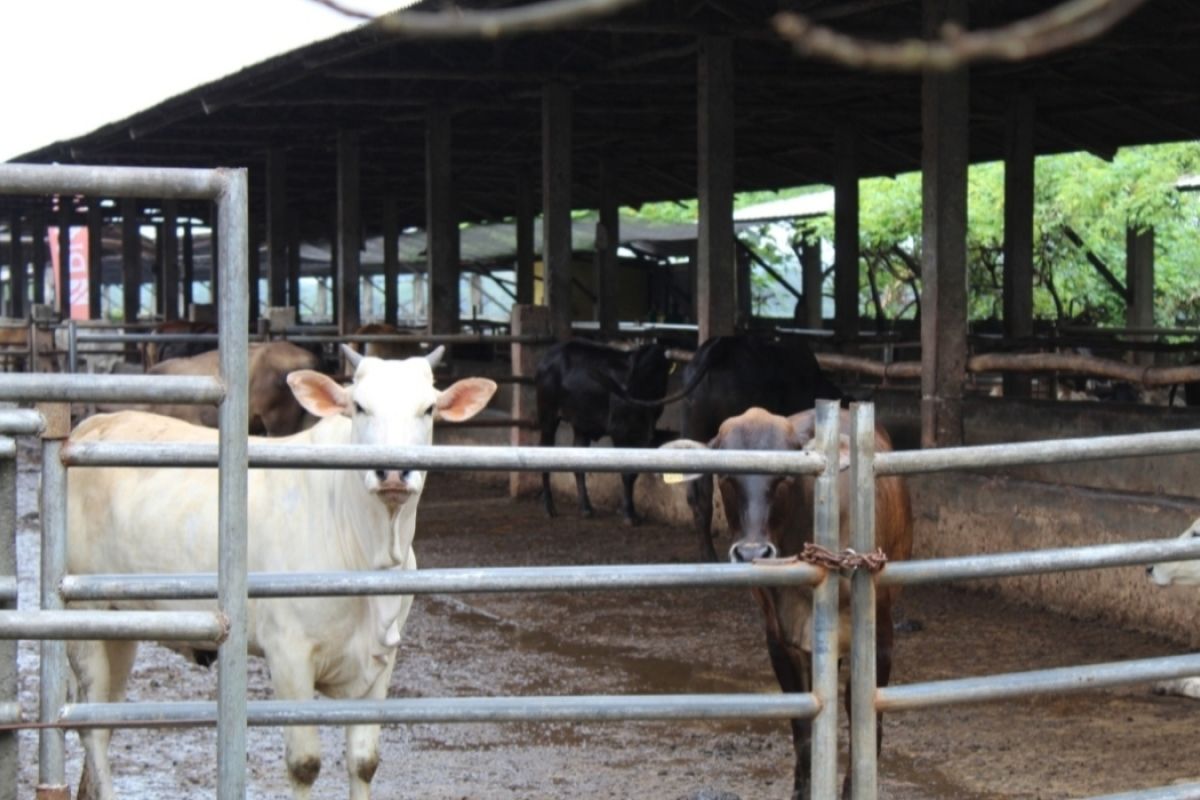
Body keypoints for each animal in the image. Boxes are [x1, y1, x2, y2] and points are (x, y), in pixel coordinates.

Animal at [537, 338, 672, 525]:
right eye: (638, 373)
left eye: (658, 374)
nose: (631, 396)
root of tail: (549, 354)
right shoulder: (620, 431)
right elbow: (627, 473)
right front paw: (628, 514)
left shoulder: (644, 435)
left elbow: (634, 472)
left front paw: (631, 511)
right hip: (548, 416)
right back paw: (549, 507)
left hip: (581, 425)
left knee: (578, 464)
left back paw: (586, 508)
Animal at [667, 410, 907, 796]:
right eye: (726, 477)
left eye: (784, 477)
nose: (752, 552)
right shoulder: (780, 640)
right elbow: (803, 728)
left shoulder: (880, 633)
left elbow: (865, 718)